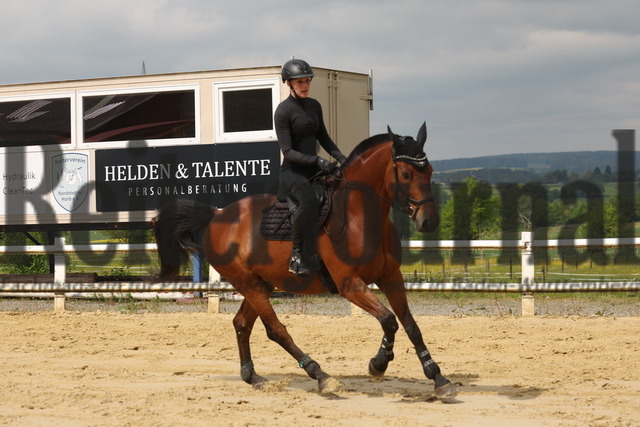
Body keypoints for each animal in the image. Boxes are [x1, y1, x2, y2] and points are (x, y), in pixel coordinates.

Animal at [153, 123, 458, 402]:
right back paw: (319, 374)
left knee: (242, 323)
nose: (429, 221)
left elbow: (410, 325)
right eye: (406, 174)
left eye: (430, 171)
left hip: (261, 284)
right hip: (249, 284)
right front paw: (378, 364)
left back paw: (253, 377)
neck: (360, 216)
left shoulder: (391, 277)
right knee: (276, 330)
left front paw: (438, 378)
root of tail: (216, 216)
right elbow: (389, 320)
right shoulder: (350, 285)